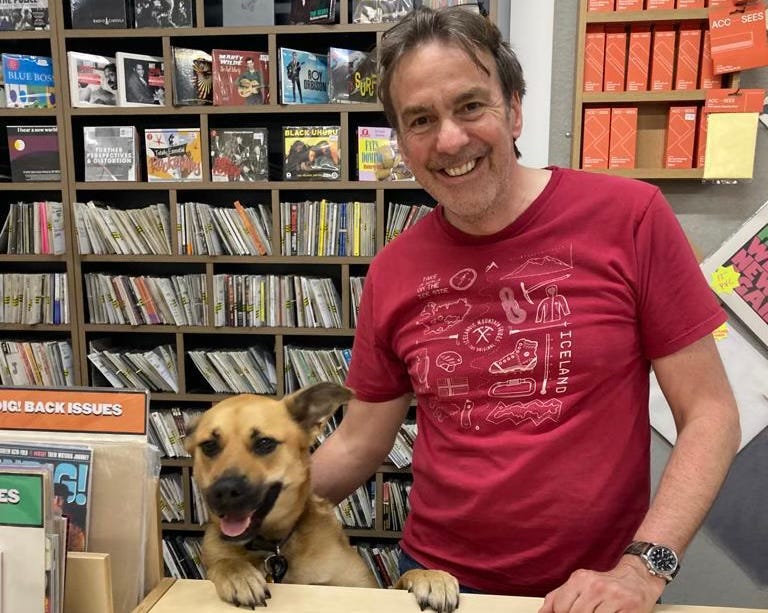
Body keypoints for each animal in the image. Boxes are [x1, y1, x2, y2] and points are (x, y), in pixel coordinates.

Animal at [184, 380, 462, 608]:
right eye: (209, 446)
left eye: (264, 443)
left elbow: (401, 579)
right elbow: (224, 563)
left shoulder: (363, 587)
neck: (276, 546)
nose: (224, 491)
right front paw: (237, 573)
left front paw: (429, 576)